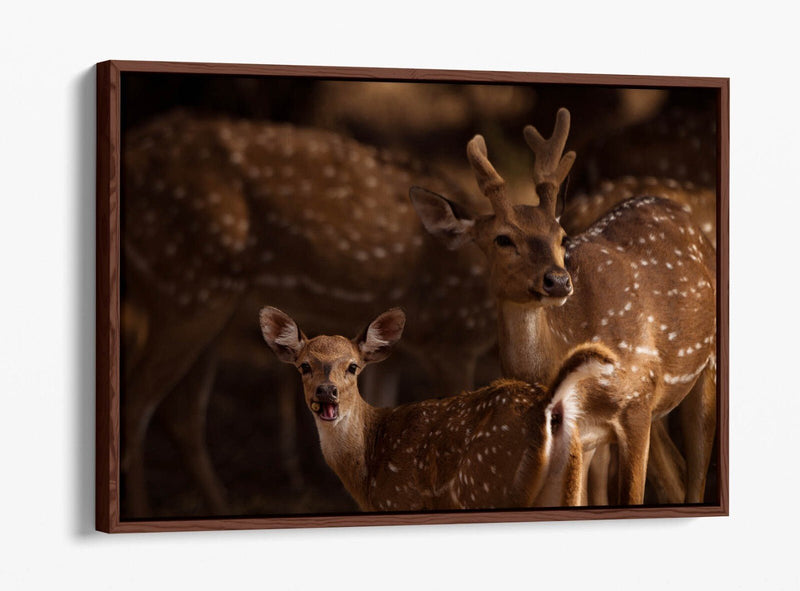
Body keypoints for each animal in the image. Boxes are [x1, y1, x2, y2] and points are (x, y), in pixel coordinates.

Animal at [121, 110, 497, 517]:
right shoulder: (452, 339)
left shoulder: (398, 355)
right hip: (188, 289)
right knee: (137, 401)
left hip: (203, 304)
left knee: (182, 413)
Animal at [259, 305, 631, 510]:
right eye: (304, 366)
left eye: (352, 366)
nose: (327, 392)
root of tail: (548, 404)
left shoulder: (399, 499)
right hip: (568, 482)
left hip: (486, 486)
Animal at [409, 108, 717, 505]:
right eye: (502, 239)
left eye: (562, 236)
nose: (557, 280)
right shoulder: (581, 436)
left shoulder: (636, 402)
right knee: (675, 477)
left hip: (702, 369)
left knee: (694, 477)